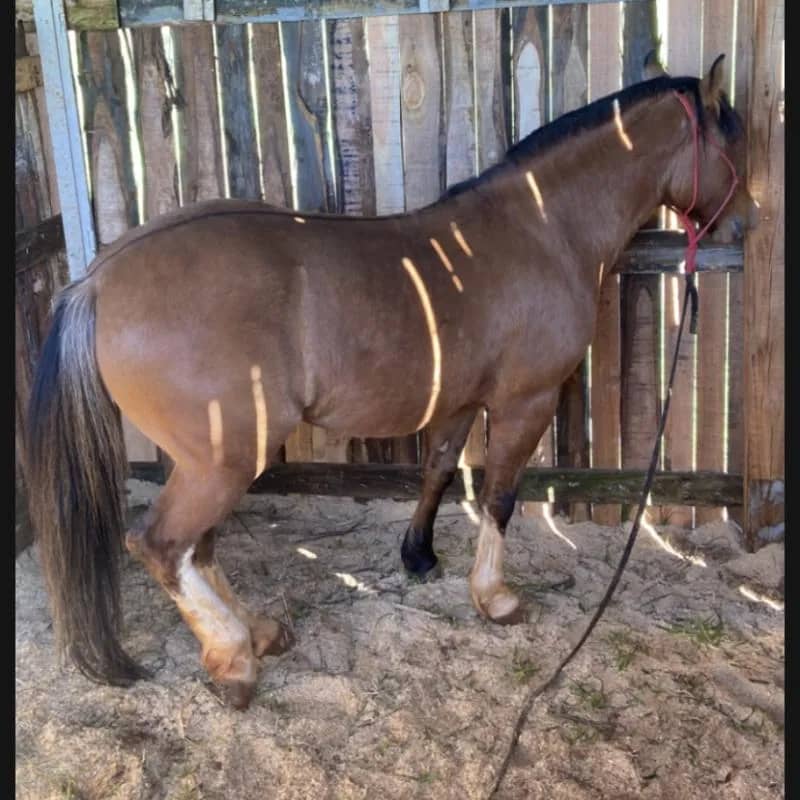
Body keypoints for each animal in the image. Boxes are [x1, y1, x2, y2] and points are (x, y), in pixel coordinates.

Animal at [25, 53, 757, 709]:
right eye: (732, 142)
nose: (746, 221)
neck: (541, 228)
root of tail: (97, 281)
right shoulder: (524, 403)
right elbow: (499, 497)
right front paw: (495, 598)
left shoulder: (459, 399)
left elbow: (437, 470)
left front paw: (420, 557)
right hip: (222, 459)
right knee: (162, 546)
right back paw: (233, 660)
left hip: (214, 460)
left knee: (197, 550)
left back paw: (255, 633)